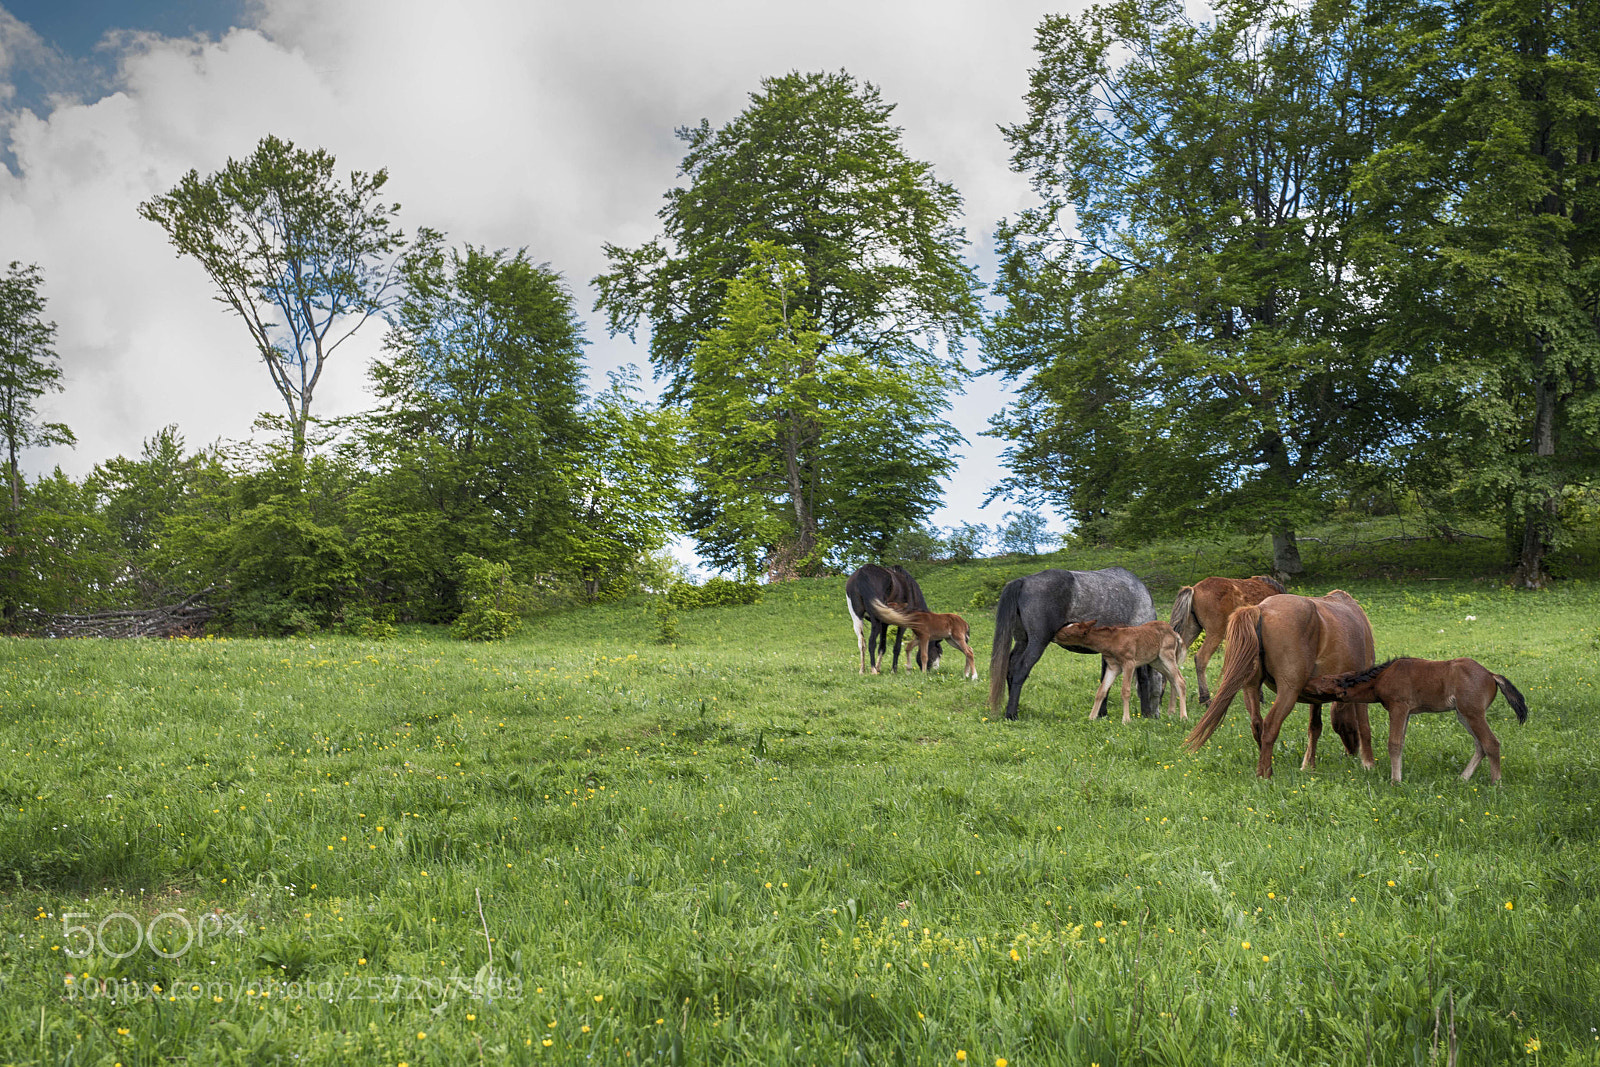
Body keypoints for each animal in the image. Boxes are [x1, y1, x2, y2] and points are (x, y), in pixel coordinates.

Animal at [989, 566, 1164, 720]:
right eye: (1162, 693)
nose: (1157, 715)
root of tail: (1023, 581)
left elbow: (1104, 681)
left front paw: (1102, 714)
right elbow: (1143, 679)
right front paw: (1145, 713)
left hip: (1023, 641)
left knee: (1011, 668)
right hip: (1037, 643)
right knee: (1020, 670)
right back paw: (1012, 714)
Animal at [1052, 620, 1188, 723]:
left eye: (1066, 634)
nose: (1053, 636)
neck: (1111, 642)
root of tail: (1175, 633)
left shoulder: (1129, 663)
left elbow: (1125, 691)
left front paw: (1126, 720)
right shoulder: (1113, 667)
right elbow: (1101, 691)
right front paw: (1091, 717)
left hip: (1167, 655)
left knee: (1180, 680)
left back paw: (1183, 717)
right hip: (1156, 661)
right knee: (1172, 679)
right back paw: (1171, 712)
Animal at [1182, 590, 1377, 778]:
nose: (1351, 751)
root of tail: (1260, 609)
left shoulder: (1316, 696)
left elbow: (1315, 728)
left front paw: (1309, 765)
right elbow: (1365, 727)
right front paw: (1368, 763)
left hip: (1251, 687)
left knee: (1257, 724)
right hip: (1288, 691)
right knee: (1270, 725)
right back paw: (1265, 773)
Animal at [1302, 658, 1529, 783]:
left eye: (1325, 681)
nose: (1306, 681)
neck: (1382, 677)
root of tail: (1491, 674)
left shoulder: (1399, 707)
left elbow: (1394, 744)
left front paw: (1395, 781)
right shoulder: (1408, 713)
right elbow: (1400, 743)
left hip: (1473, 713)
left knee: (1491, 743)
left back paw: (1496, 783)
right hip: (1463, 714)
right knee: (1480, 746)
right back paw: (1462, 779)